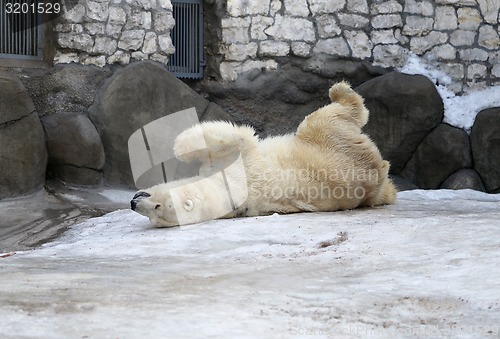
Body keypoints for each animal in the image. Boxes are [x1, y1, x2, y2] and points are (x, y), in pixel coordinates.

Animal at [131, 81, 396, 228]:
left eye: (157, 207)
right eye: (154, 217)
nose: (134, 203)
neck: (226, 195)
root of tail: (377, 171)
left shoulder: (238, 169)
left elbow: (236, 139)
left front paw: (180, 145)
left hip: (327, 145)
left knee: (323, 118)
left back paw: (339, 91)